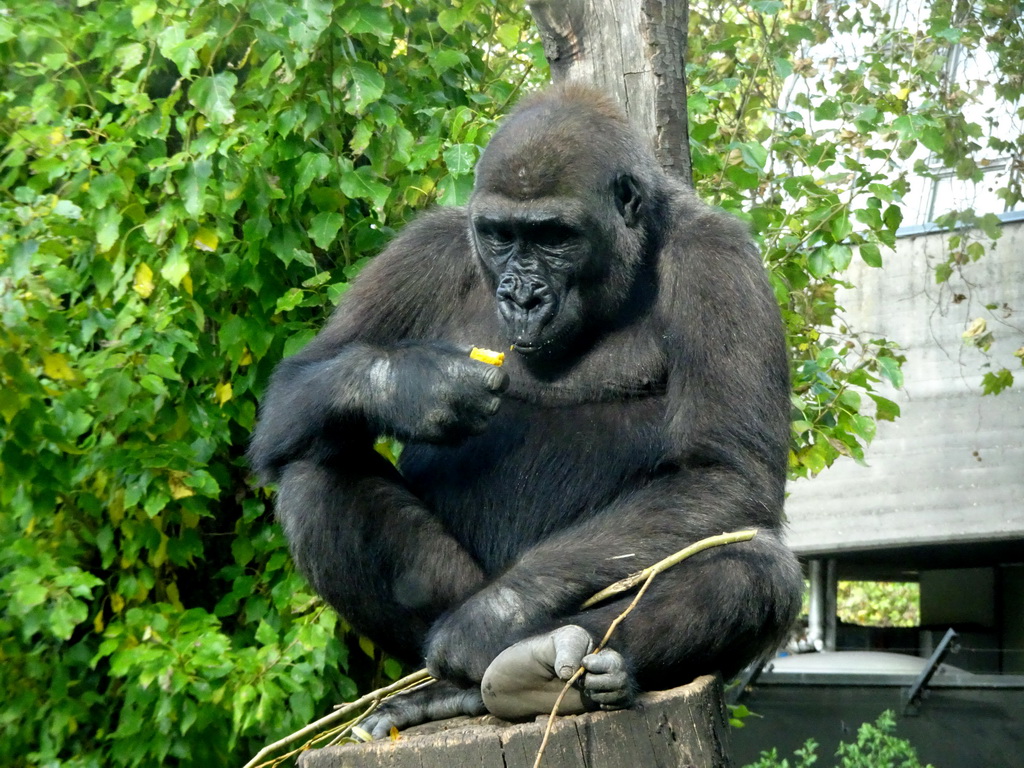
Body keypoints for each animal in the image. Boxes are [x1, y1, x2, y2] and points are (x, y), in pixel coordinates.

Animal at [245, 81, 798, 737]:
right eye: (501, 235)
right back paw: (442, 692)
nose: (522, 295)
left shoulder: (719, 259)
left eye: (555, 237)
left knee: (754, 568)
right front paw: (414, 385)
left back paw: (545, 664)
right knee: (315, 476)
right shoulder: (423, 249)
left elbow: (724, 472)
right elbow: (294, 390)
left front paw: (489, 620)